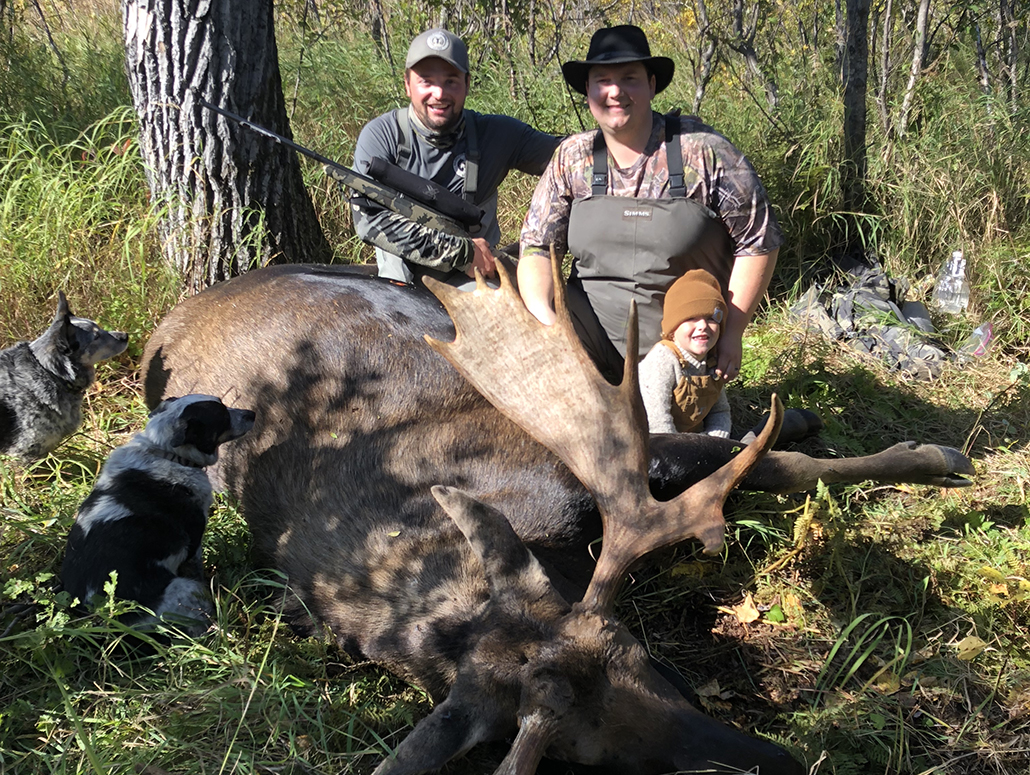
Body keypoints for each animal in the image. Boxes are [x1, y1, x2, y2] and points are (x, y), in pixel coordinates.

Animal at [60, 393, 255, 634]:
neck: (166, 453)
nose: (252, 413)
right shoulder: (194, 544)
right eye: (222, 415)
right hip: (187, 589)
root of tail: (106, 620)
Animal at [139, 260, 972, 774]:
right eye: (585, 753)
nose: (781, 762)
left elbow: (769, 463)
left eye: (647, 658)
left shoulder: (579, 464)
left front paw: (935, 457)